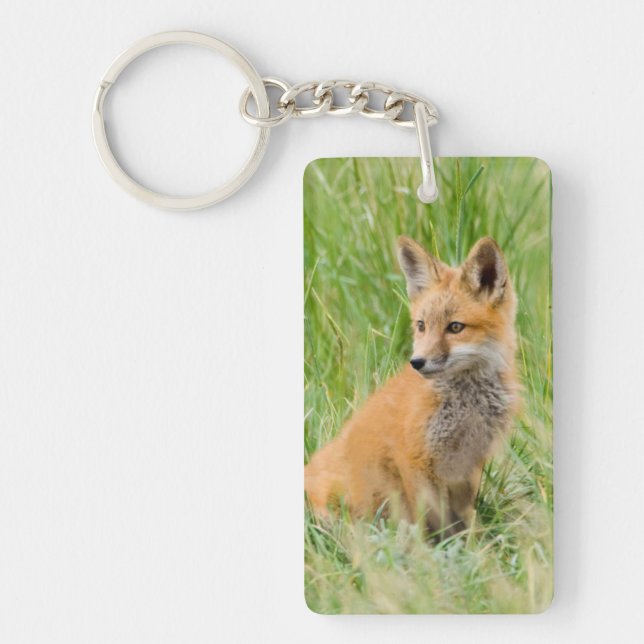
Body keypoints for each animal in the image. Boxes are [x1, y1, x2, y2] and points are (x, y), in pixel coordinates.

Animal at [305, 235, 520, 537]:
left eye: (455, 327)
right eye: (421, 325)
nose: (417, 362)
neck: (467, 405)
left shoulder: (469, 463)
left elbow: (464, 519)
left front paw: (475, 544)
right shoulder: (414, 459)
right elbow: (433, 520)